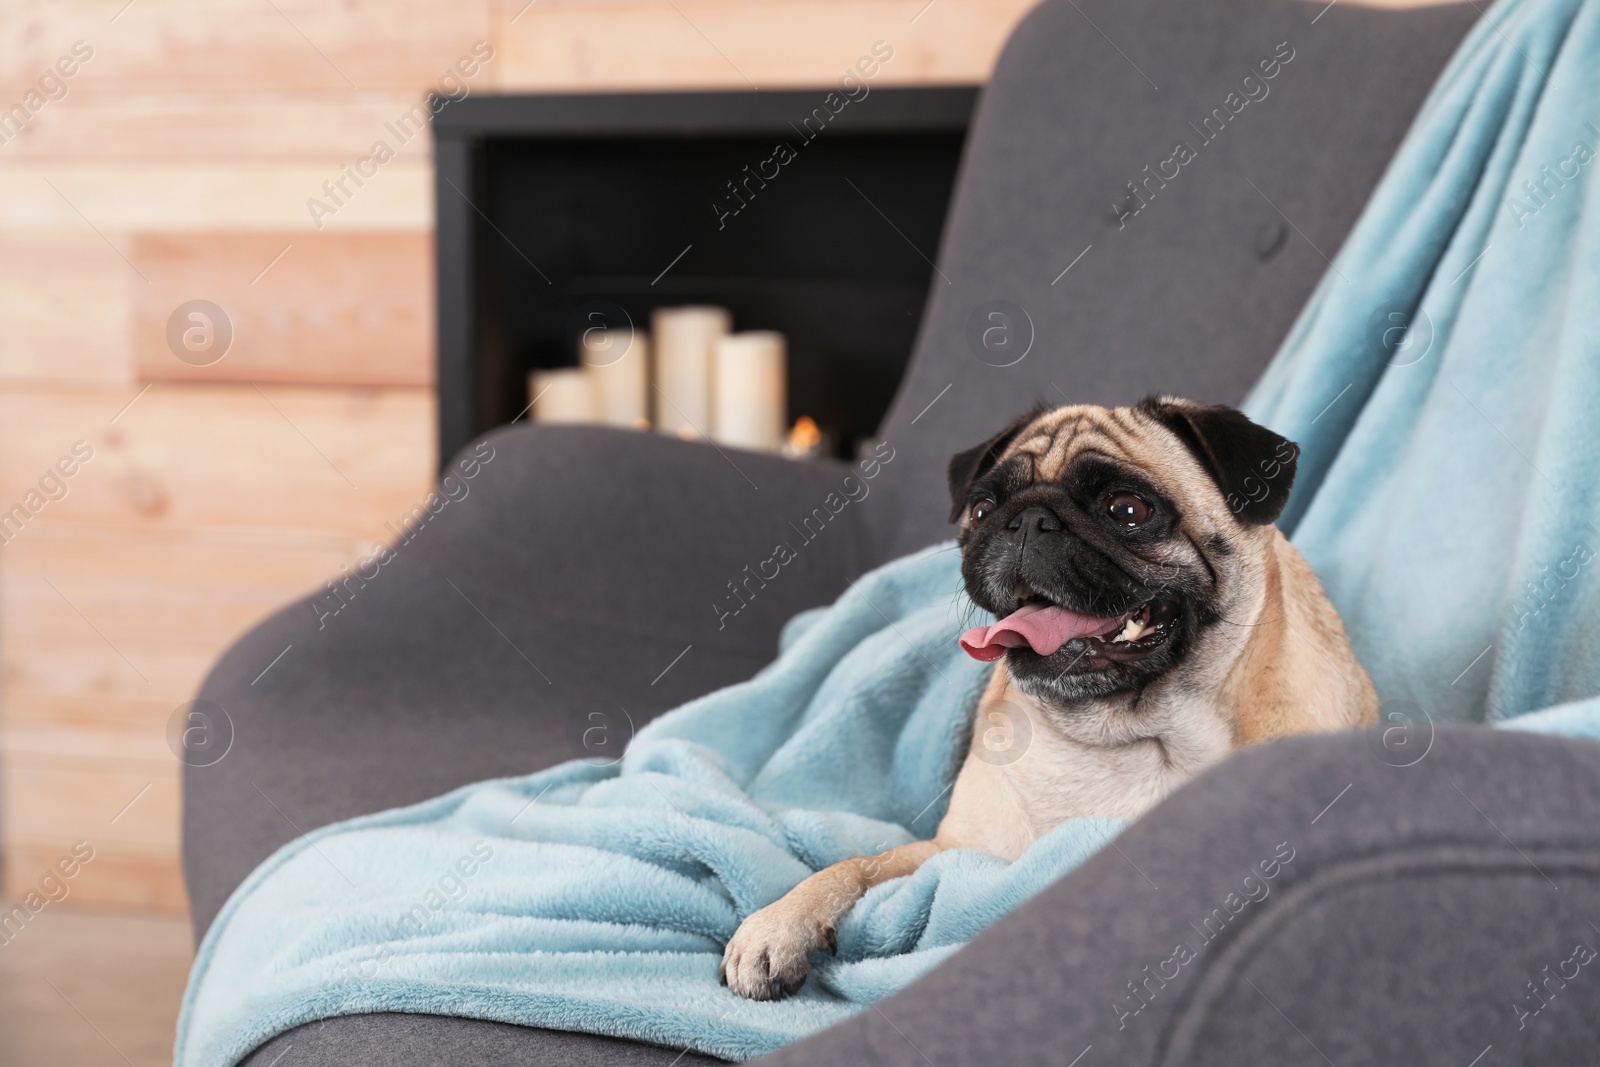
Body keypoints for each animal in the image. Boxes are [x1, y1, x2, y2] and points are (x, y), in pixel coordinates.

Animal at [720, 395, 1382, 1004]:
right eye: (982, 509)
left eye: (1129, 509)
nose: (1026, 521)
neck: (1133, 737)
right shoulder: (947, 851)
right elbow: (851, 866)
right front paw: (775, 925)